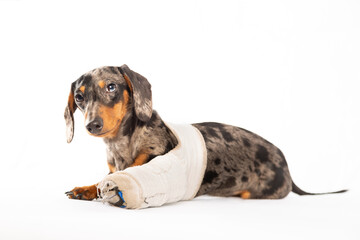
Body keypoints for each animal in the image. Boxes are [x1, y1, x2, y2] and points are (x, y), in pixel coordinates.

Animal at [64, 63, 346, 201]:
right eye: (79, 97)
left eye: (111, 87)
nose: (92, 125)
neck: (122, 144)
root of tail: (286, 167)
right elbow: (106, 176)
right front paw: (85, 188)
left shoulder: (151, 159)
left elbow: (119, 176)